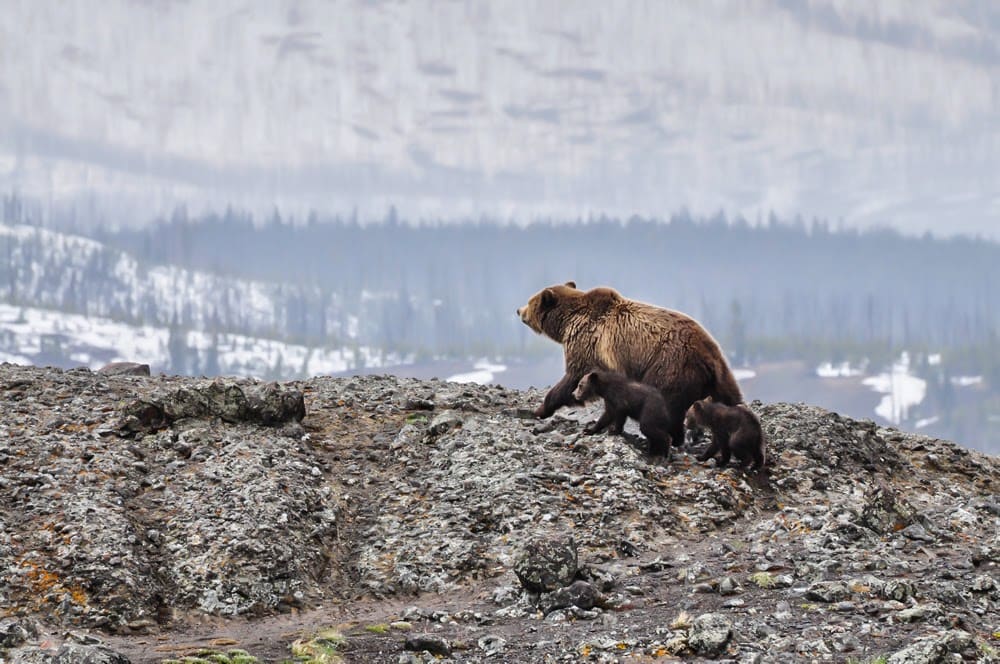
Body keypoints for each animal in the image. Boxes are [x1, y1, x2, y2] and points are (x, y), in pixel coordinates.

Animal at [516, 281, 743, 448]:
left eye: (530, 301)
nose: (518, 310)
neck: (567, 322)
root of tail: (708, 355)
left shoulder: (588, 345)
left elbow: (572, 378)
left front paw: (540, 409)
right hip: (720, 377)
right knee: (731, 400)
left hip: (669, 366)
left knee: (666, 405)